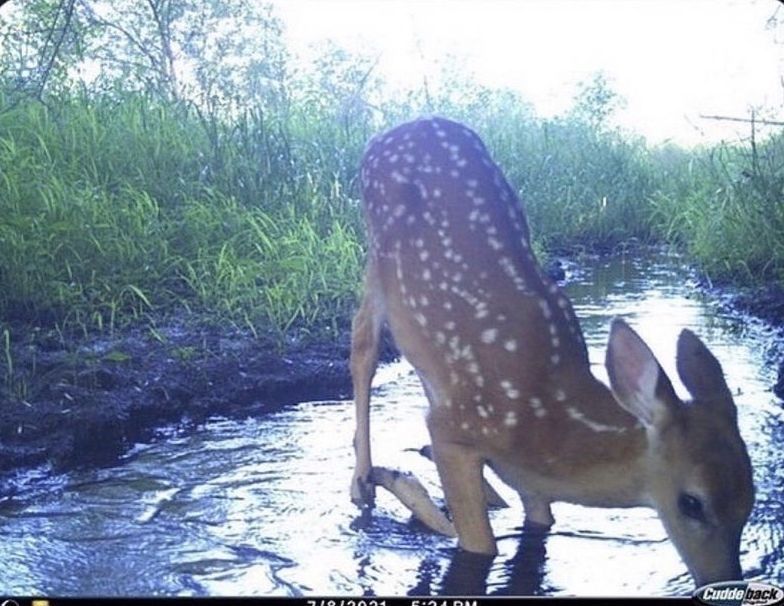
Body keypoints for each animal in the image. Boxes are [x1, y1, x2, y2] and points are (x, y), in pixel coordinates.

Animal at [348, 116, 754, 588]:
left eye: (749, 501)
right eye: (691, 502)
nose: (723, 581)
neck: (549, 423)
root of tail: (403, 126)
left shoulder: (531, 484)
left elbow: (540, 522)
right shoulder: (457, 427)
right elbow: (478, 545)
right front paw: (402, 486)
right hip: (377, 257)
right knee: (363, 345)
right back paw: (363, 481)